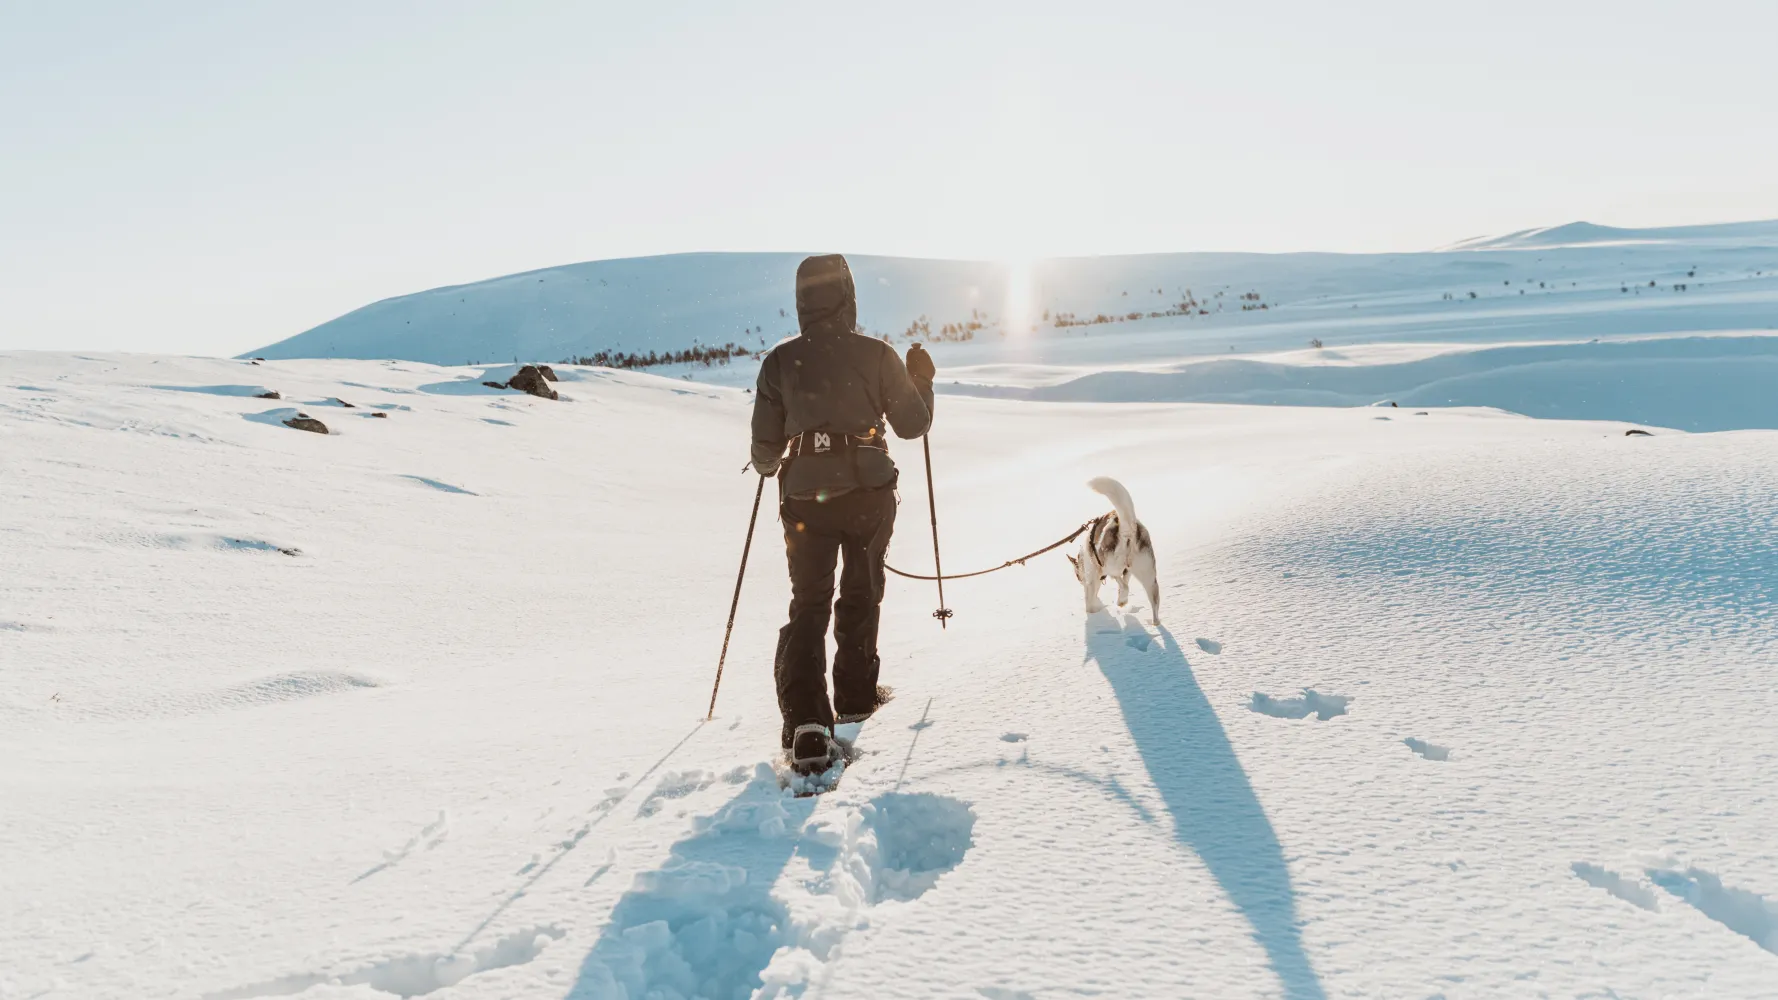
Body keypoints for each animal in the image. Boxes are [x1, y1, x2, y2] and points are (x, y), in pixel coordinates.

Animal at [1059, 476, 1159, 622]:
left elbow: (1090, 600)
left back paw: (1121, 601)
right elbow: (1125, 578)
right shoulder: (1125, 572)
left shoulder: (1092, 578)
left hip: (1109, 565)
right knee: (1153, 601)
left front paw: (1094, 610)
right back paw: (1152, 620)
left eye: (1077, 576)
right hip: (1148, 575)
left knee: (1123, 584)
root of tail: (1127, 527)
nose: (1080, 581)